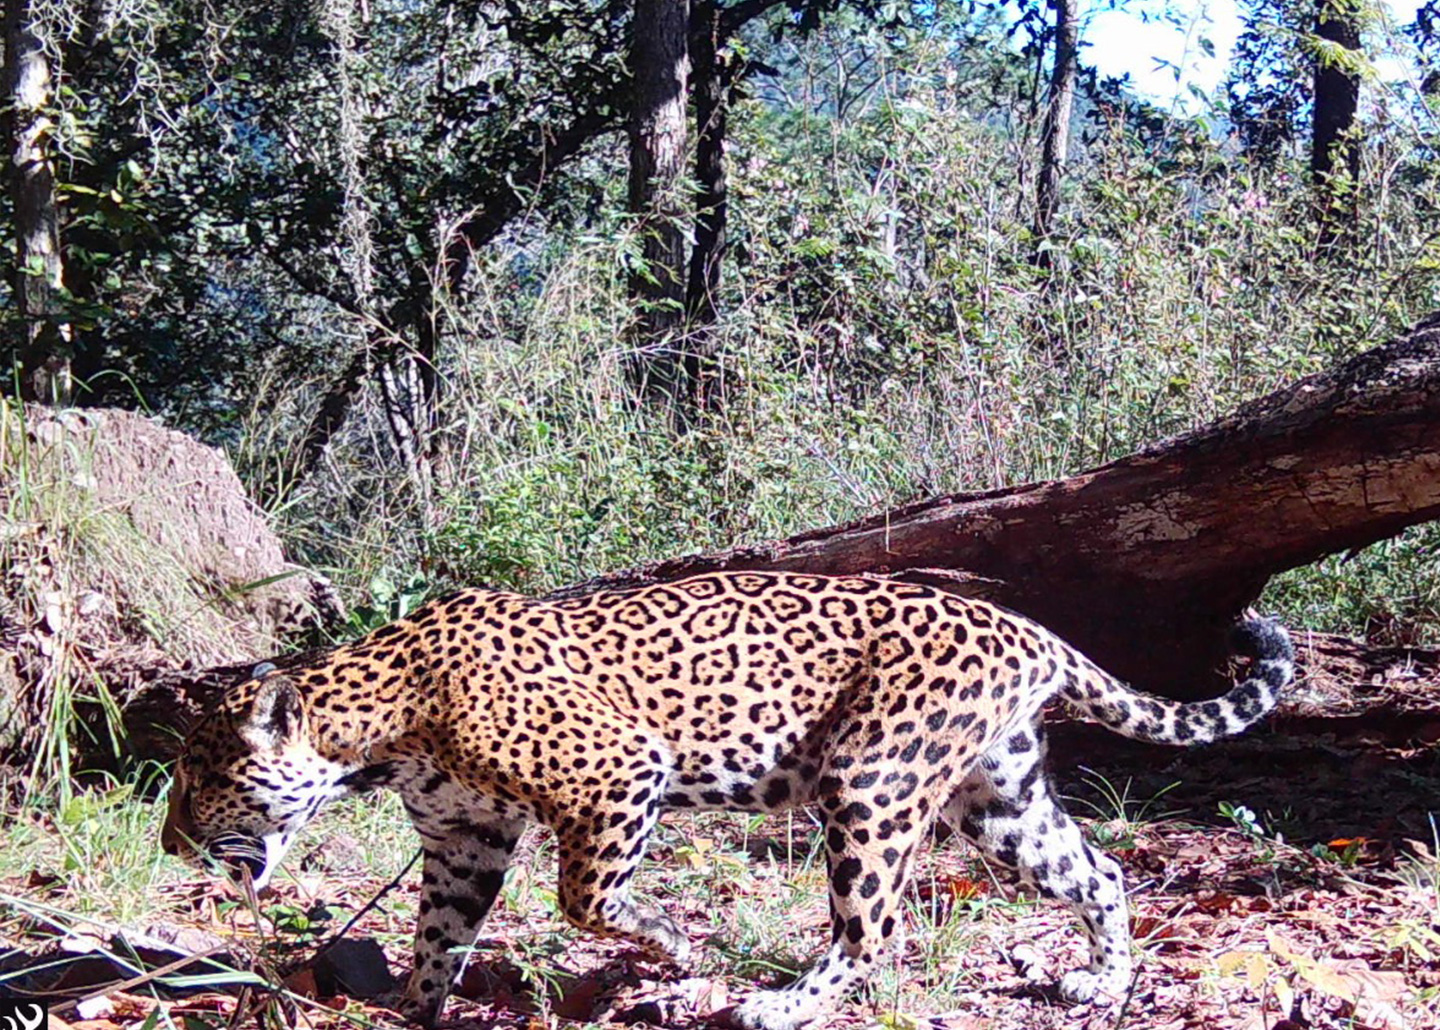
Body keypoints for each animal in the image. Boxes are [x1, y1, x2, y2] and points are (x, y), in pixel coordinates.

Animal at [161, 570, 1293, 1030]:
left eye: (202, 777)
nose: (169, 841)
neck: (387, 720)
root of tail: (1034, 631)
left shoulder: (618, 771)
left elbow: (587, 898)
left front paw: (672, 947)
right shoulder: (464, 838)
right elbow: (440, 931)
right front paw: (413, 1010)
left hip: (869, 781)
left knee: (871, 927)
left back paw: (779, 1003)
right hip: (998, 798)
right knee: (1100, 871)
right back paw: (1104, 983)